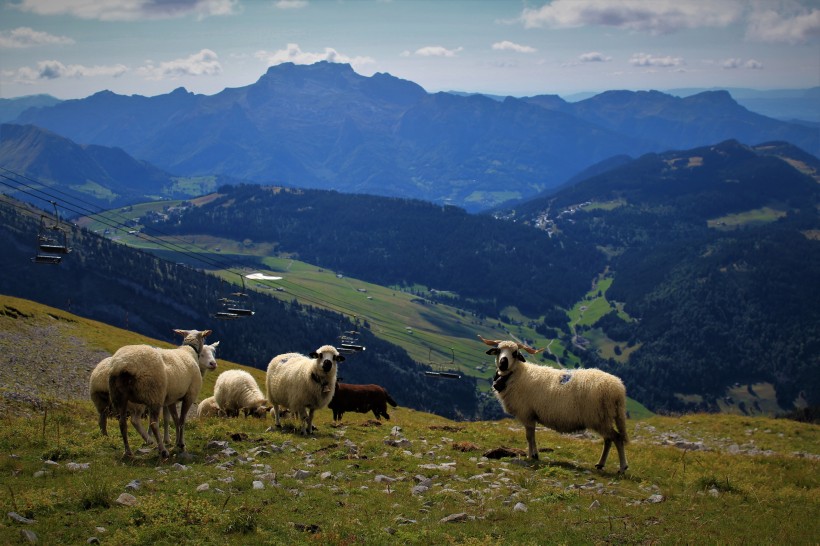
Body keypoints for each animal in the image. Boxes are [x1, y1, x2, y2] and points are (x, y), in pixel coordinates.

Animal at [480, 334, 628, 470]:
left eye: (515, 353)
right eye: (498, 350)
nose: (503, 363)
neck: (517, 374)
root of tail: (618, 388)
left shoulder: (526, 413)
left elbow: (529, 436)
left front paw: (532, 455)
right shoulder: (531, 415)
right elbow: (532, 436)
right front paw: (533, 455)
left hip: (599, 417)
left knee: (616, 438)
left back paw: (622, 467)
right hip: (604, 418)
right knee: (609, 439)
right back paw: (600, 464)